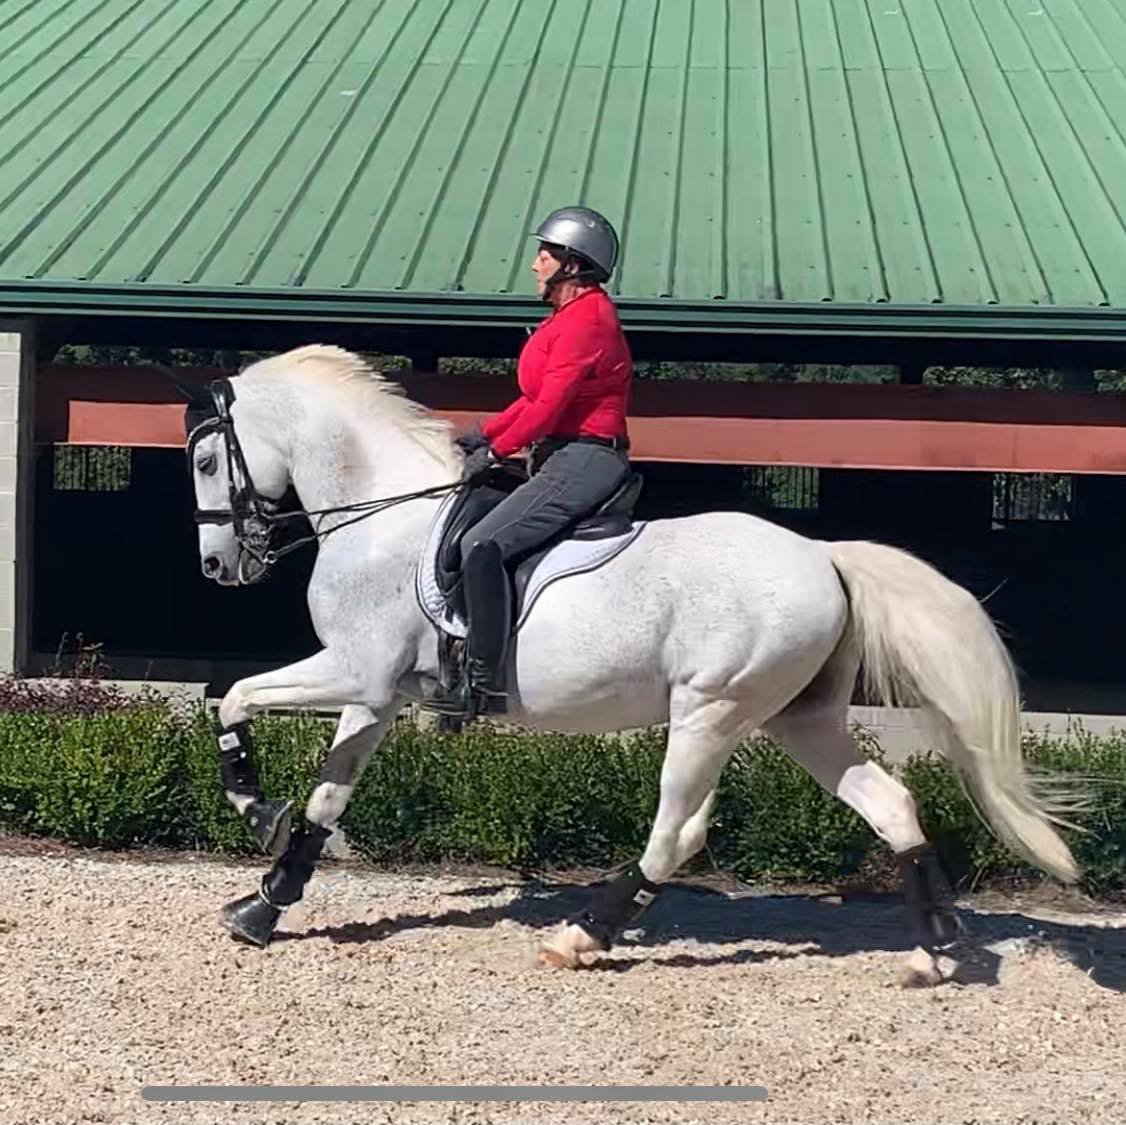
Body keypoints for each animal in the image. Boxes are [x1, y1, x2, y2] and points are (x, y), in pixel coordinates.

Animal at [174, 343, 1082, 988]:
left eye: (206, 462)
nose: (220, 567)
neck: (377, 513)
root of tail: (824, 556)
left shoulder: (353, 672)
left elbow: (235, 698)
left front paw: (255, 808)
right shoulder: (376, 693)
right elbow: (327, 794)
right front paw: (264, 902)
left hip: (711, 711)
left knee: (678, 829)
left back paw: (584, 934)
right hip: (798, 719)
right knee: (888, 803)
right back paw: (932, 951)